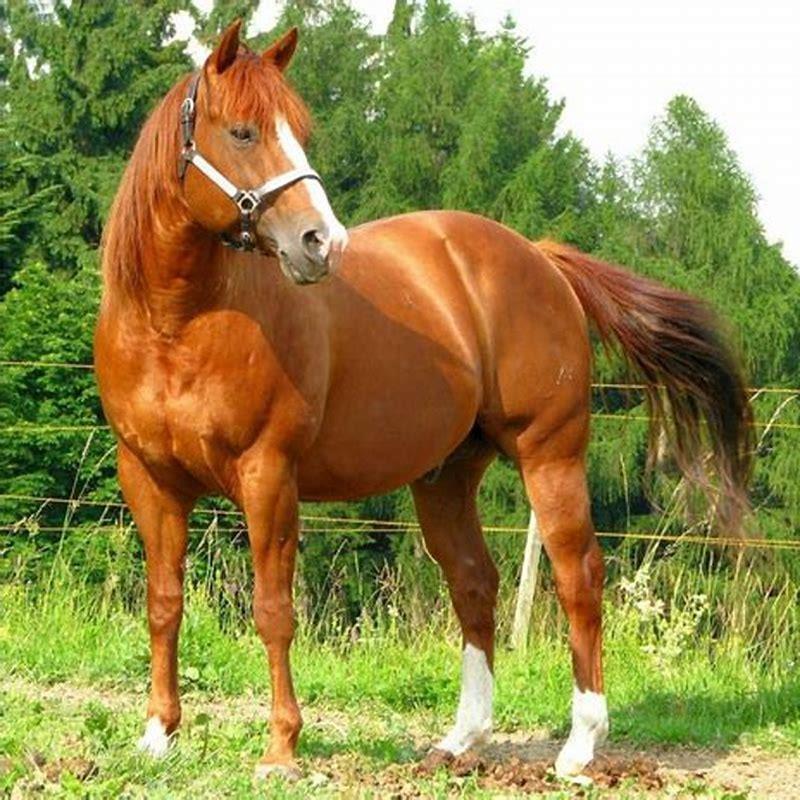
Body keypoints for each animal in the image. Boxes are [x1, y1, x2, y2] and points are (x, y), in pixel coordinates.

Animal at [94, 20, 752, 779]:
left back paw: (579, 745)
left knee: (577, 576)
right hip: (446, 476)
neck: (179, 323)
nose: (321, 242)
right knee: (474, 582)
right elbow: (163, 603)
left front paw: (281, 747)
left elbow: (273, 610)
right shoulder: (150, 480)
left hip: (549, 456)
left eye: (299, 130)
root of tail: (539, 256)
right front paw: (157, 735)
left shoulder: (269, 476)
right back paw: (462, 741)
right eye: (242, 132)